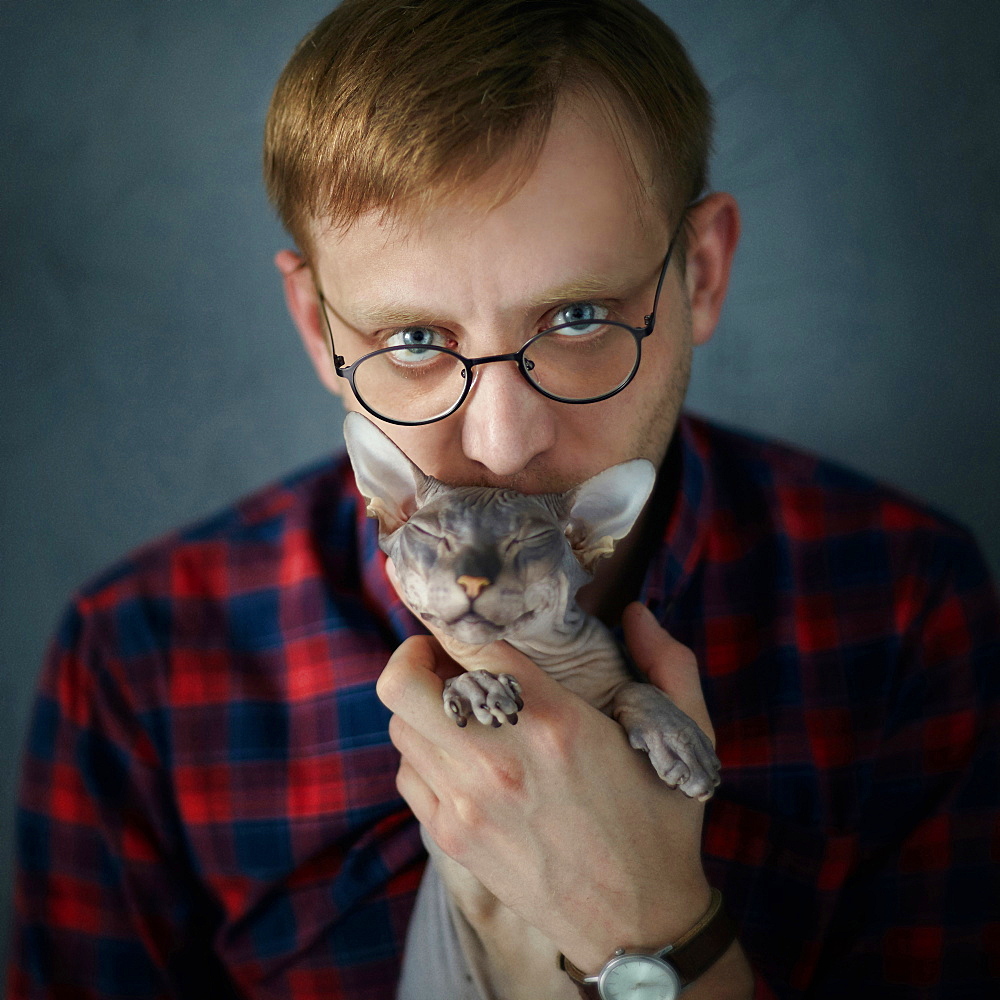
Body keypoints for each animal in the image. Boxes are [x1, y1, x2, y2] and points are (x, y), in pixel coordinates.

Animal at [344, 412, 720, 1000]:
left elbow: (632, 688)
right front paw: (475, 685)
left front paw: (679, 741)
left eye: (529, 539)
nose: (473, 579)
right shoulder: (459, 873)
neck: (538, 664)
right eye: (430, 534)